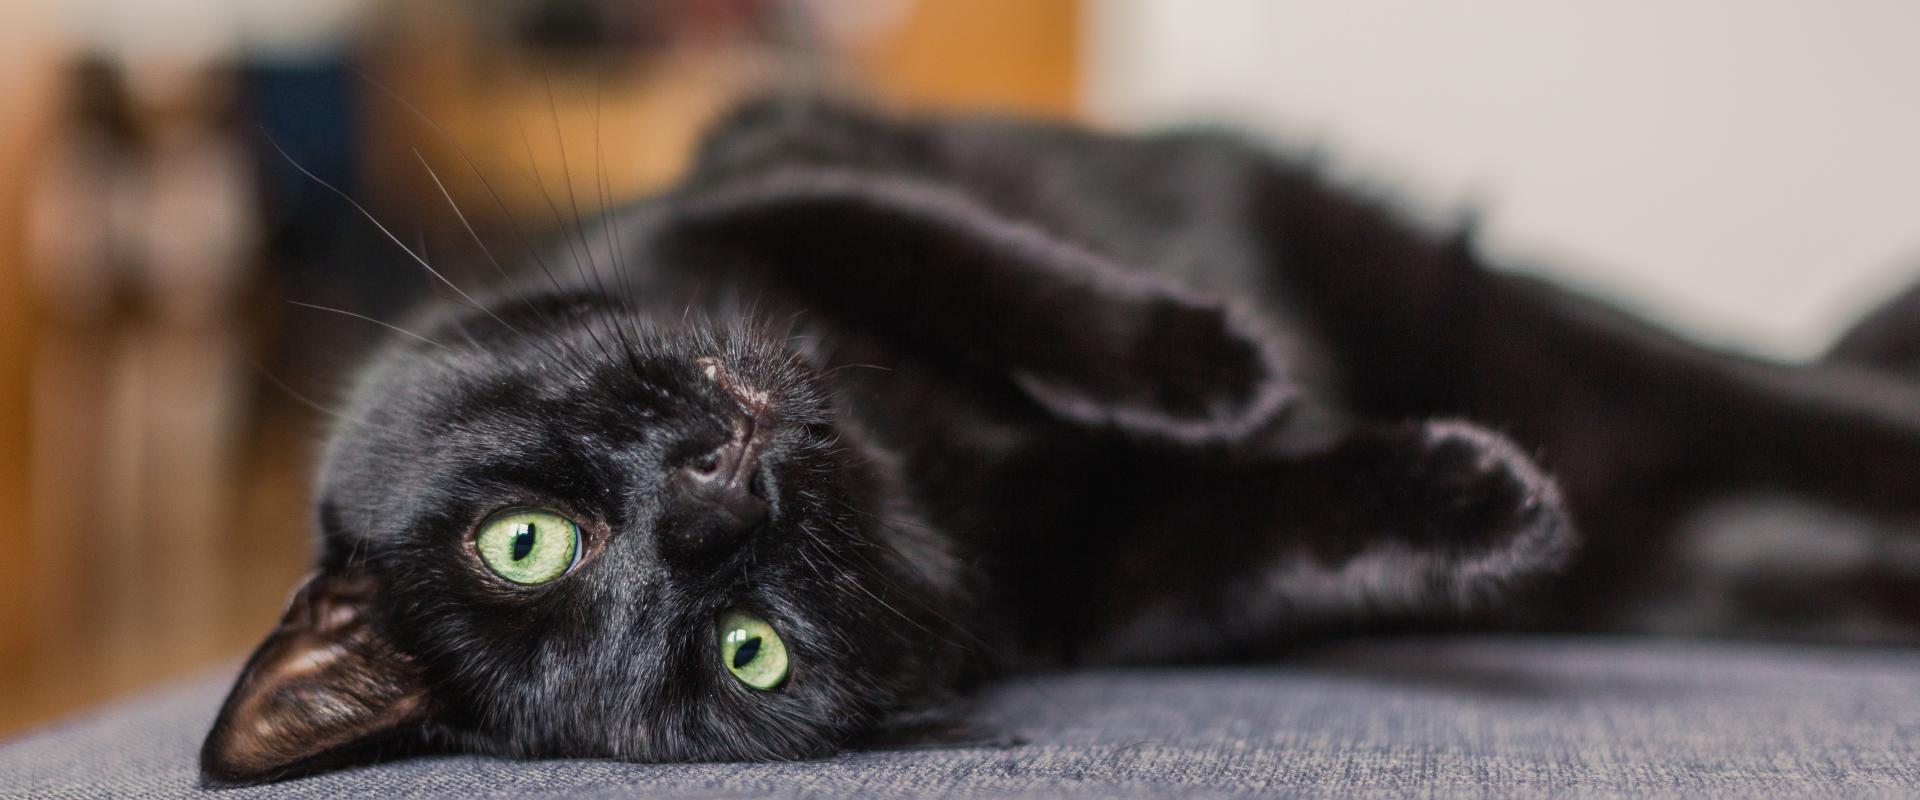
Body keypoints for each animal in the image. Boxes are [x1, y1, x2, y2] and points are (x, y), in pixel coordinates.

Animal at [202, 96, 1920, 782]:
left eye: (522, 539)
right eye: (745, 653)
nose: (717, 491)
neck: (914, 463)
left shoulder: (778, 179)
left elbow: (984, 269)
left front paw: (1211, 365)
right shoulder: (1109, 583)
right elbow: (1280, 537)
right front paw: (1473, 506)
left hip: (1499, 320)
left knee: (1764, 395)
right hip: (1685, 544)